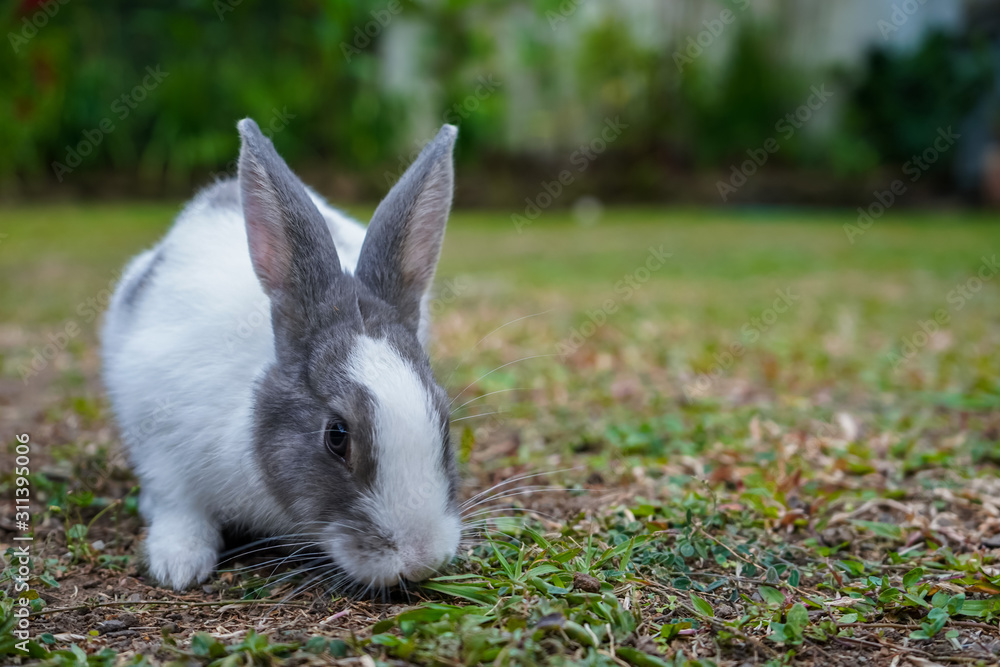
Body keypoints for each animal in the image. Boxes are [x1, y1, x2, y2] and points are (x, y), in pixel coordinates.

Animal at [101, 118, 461, 592]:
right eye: (336, 436)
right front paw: (179, 564)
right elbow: (178, 505)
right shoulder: (160, 438)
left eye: (445, 421)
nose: (421, 560)